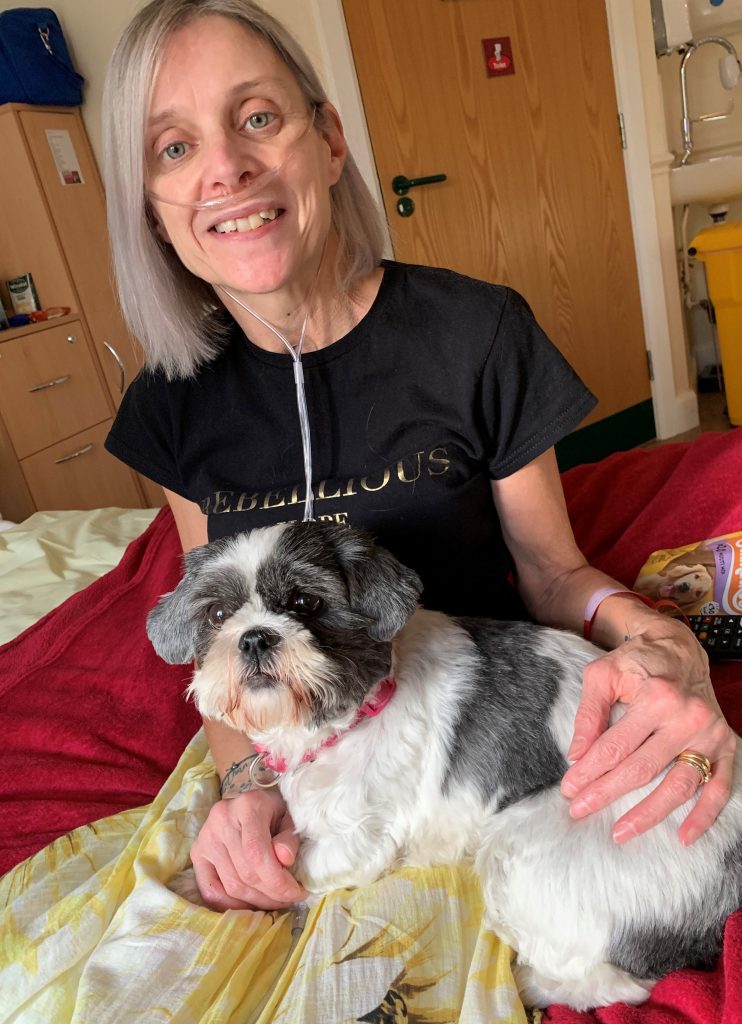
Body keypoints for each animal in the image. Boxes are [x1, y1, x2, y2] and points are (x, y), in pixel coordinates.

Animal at [146, 520, 740, 1007]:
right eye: (217, 614)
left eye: (305, 602)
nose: (253, 637)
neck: (348, 718)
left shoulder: (360, 841)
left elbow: (293, 867)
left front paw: (202, 887)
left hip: (526, 848)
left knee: (613, 983)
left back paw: (528, 983)